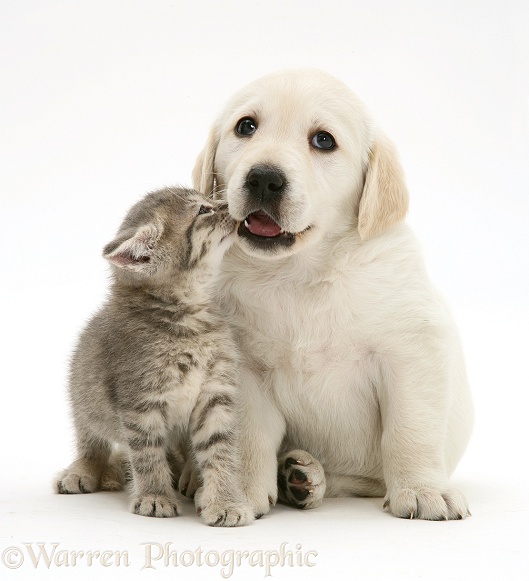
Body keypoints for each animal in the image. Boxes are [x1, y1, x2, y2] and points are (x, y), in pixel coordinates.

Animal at [55, 186, 254, 524]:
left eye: (208, 199)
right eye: (203, 210)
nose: (229, 205)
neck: (190, 320)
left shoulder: (215, 394)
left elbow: (220, 450)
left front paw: (225, 501)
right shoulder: (140, 401)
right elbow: (147, 454)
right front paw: (155, 496)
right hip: (83, 396)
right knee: (91, 441)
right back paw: (84, 470)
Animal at [192, 69, 472, 520]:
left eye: (323, 140)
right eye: (246, 127)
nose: (263, 178)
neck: (301, 272)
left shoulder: (413, 349)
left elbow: (411, 429)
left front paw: (423, 489)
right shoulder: (244, 367)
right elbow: (247, 437)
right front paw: (240, 492)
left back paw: (302, 477)